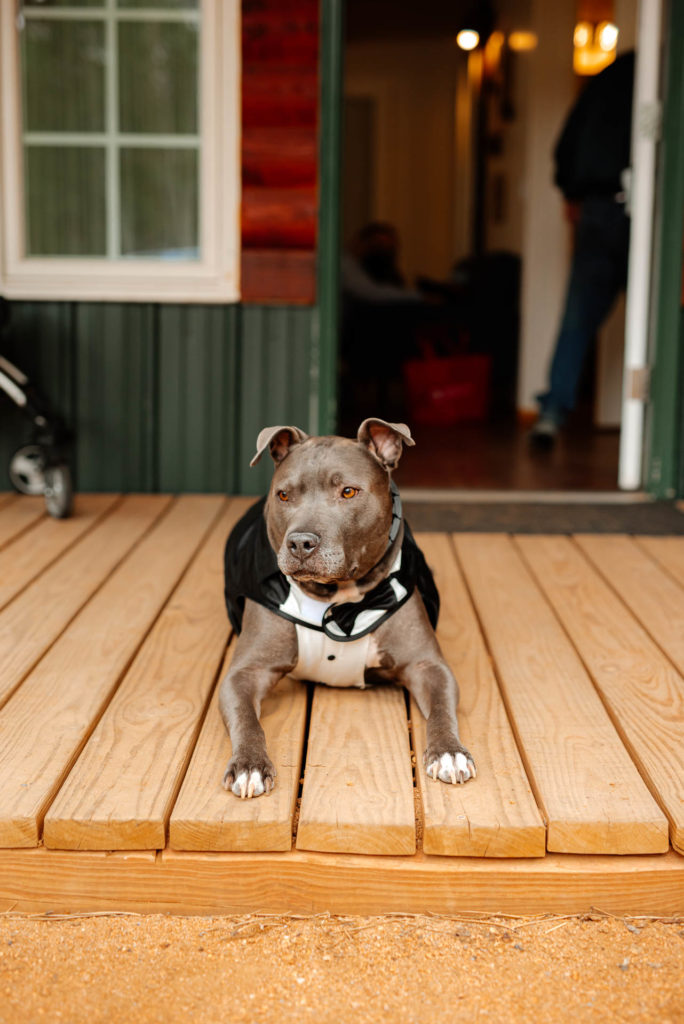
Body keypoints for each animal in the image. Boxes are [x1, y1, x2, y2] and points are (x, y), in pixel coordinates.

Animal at [219, 415, 475, 798]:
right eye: (284, 495)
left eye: (349, 492)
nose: (300, 542)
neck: (336, 603)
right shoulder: (245, 672)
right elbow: (246, 719)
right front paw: (249, 765)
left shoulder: (427, 665)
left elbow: (443, 709)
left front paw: (449, 752)